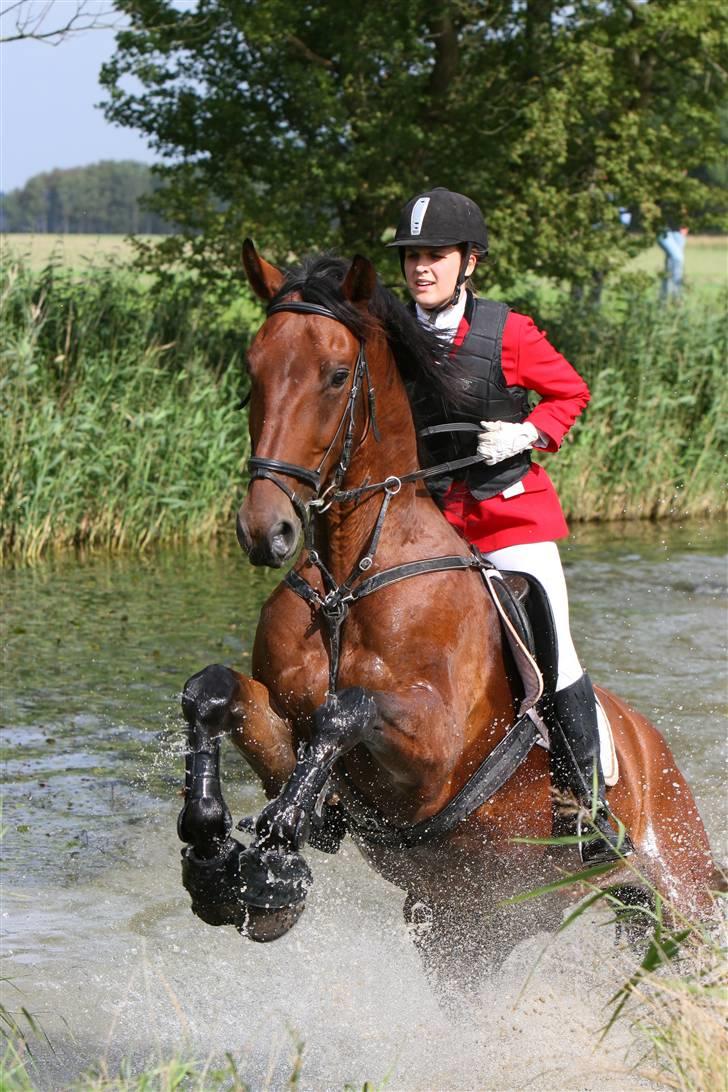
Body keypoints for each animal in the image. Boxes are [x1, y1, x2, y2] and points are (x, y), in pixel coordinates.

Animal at [174, 243, 711, 987]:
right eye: (253, 369)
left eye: (335, 376)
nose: (266, 531)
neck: (349, 581)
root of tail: (655, 753)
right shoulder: (288, 730)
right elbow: (213, 690)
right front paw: (212, 845)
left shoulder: (433, 758)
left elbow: (347, 708)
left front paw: (274, 849)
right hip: (466, 931)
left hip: (682, 903)